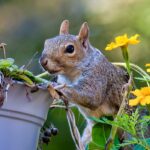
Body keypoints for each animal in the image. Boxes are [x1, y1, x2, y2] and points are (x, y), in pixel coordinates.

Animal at [39, 19, 127, 148]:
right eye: (47, 42)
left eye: (70, 49)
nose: (43, 61)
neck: (71, 75)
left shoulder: (97, 75)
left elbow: (90, 96)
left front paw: (52, 85)